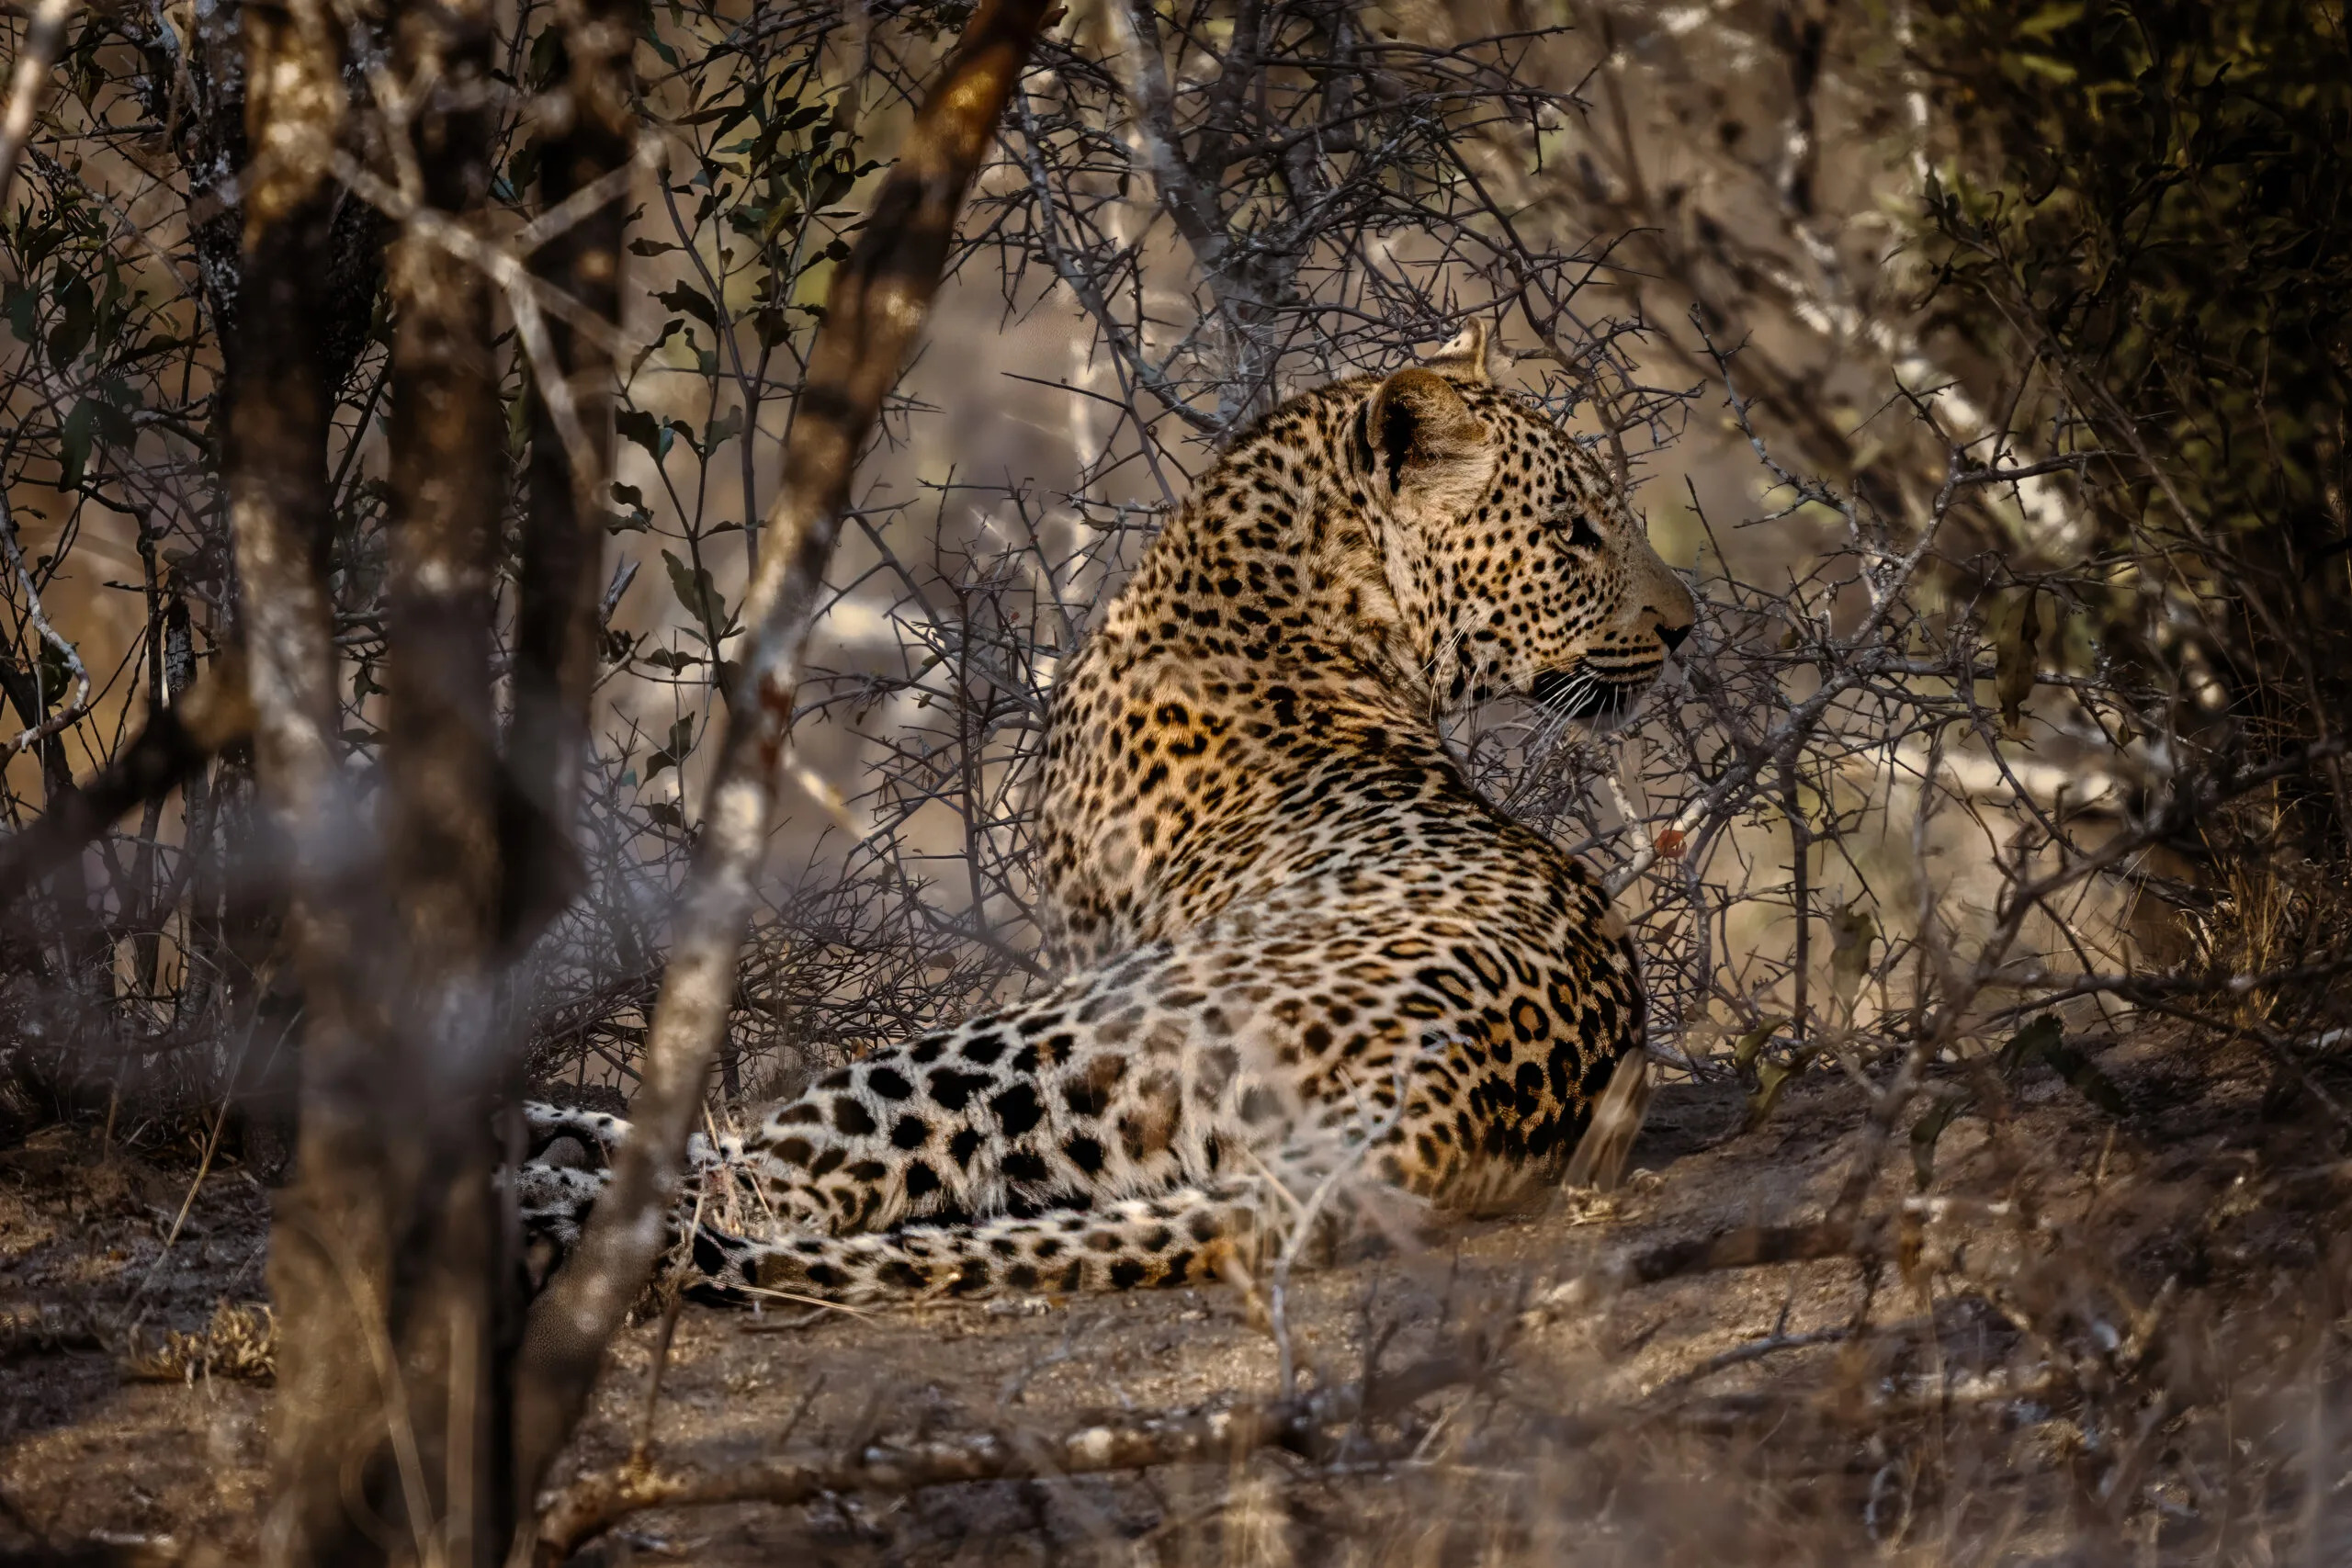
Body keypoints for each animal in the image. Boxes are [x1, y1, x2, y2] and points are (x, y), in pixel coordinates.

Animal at [517, 320, 1698, 1307]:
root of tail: (1431, 1111)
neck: (1298, 598)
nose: (1687, 627)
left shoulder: (1077, 937)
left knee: (775, 1190)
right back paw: (554, 1140)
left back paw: (547, 1181)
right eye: (1573, 533)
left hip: (1047, 1033)